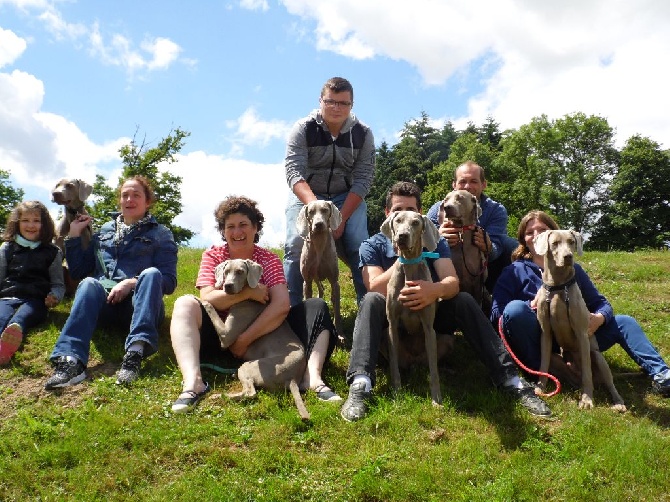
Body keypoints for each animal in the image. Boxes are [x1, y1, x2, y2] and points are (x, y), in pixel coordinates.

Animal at [206, 258, 312, 420]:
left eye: (240, 272)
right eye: (226, 271)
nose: (227, 286)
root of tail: (293, 378)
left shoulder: (226, 336)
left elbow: (212, 312)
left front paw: (205, 302)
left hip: (250, 366)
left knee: (250, 393)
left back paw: (219, 396)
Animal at [296, 202, 344, 340]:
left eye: (325, 210)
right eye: (311, 212)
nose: (318, 224)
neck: (318, 242)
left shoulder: (335, 282)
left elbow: (337, 310)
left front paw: (340, 333)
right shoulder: (307, 281)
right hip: (314, 278)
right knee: (321, 289)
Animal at [384, 210, 446, 406]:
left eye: (416, 223)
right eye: (398, 220)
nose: (402, 236)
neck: (410, 265)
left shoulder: (428, 329)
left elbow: (434, 371)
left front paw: (436, 400)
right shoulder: (392, 326)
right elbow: (393, 365)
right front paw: (397, 393)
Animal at [540, 229, 628, 410]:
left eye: (572, 241)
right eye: (554, 243)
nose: (568, 256)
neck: (558, 286)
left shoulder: (582, 334)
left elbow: (587, 371)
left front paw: (587, 399)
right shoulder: (545, 333)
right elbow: (542, 364)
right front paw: (540, 388)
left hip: (598, 358)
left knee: (609, 383)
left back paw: (618, 402)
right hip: (559, 361)